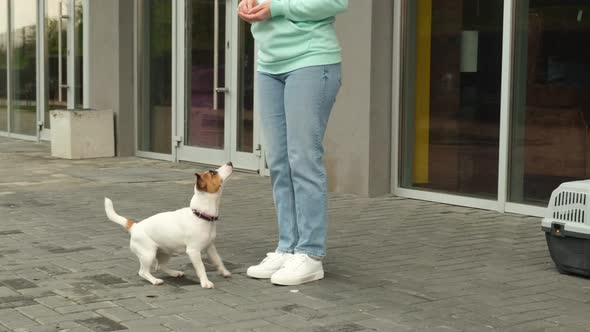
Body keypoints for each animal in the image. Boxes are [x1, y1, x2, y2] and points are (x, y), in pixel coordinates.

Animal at [105, 162, 235, 286]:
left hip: (165, 252)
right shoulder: (193, 251)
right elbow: (201, 268)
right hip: (148, 254)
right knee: (143, 272)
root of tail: (135, 226)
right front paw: (205, 282)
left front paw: (224, 272)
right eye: (213, 173)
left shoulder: (210, 247)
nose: (230, 162)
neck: (199, 214)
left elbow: (218, 260)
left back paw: (174, 273)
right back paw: (155, 280)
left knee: (161, 266)